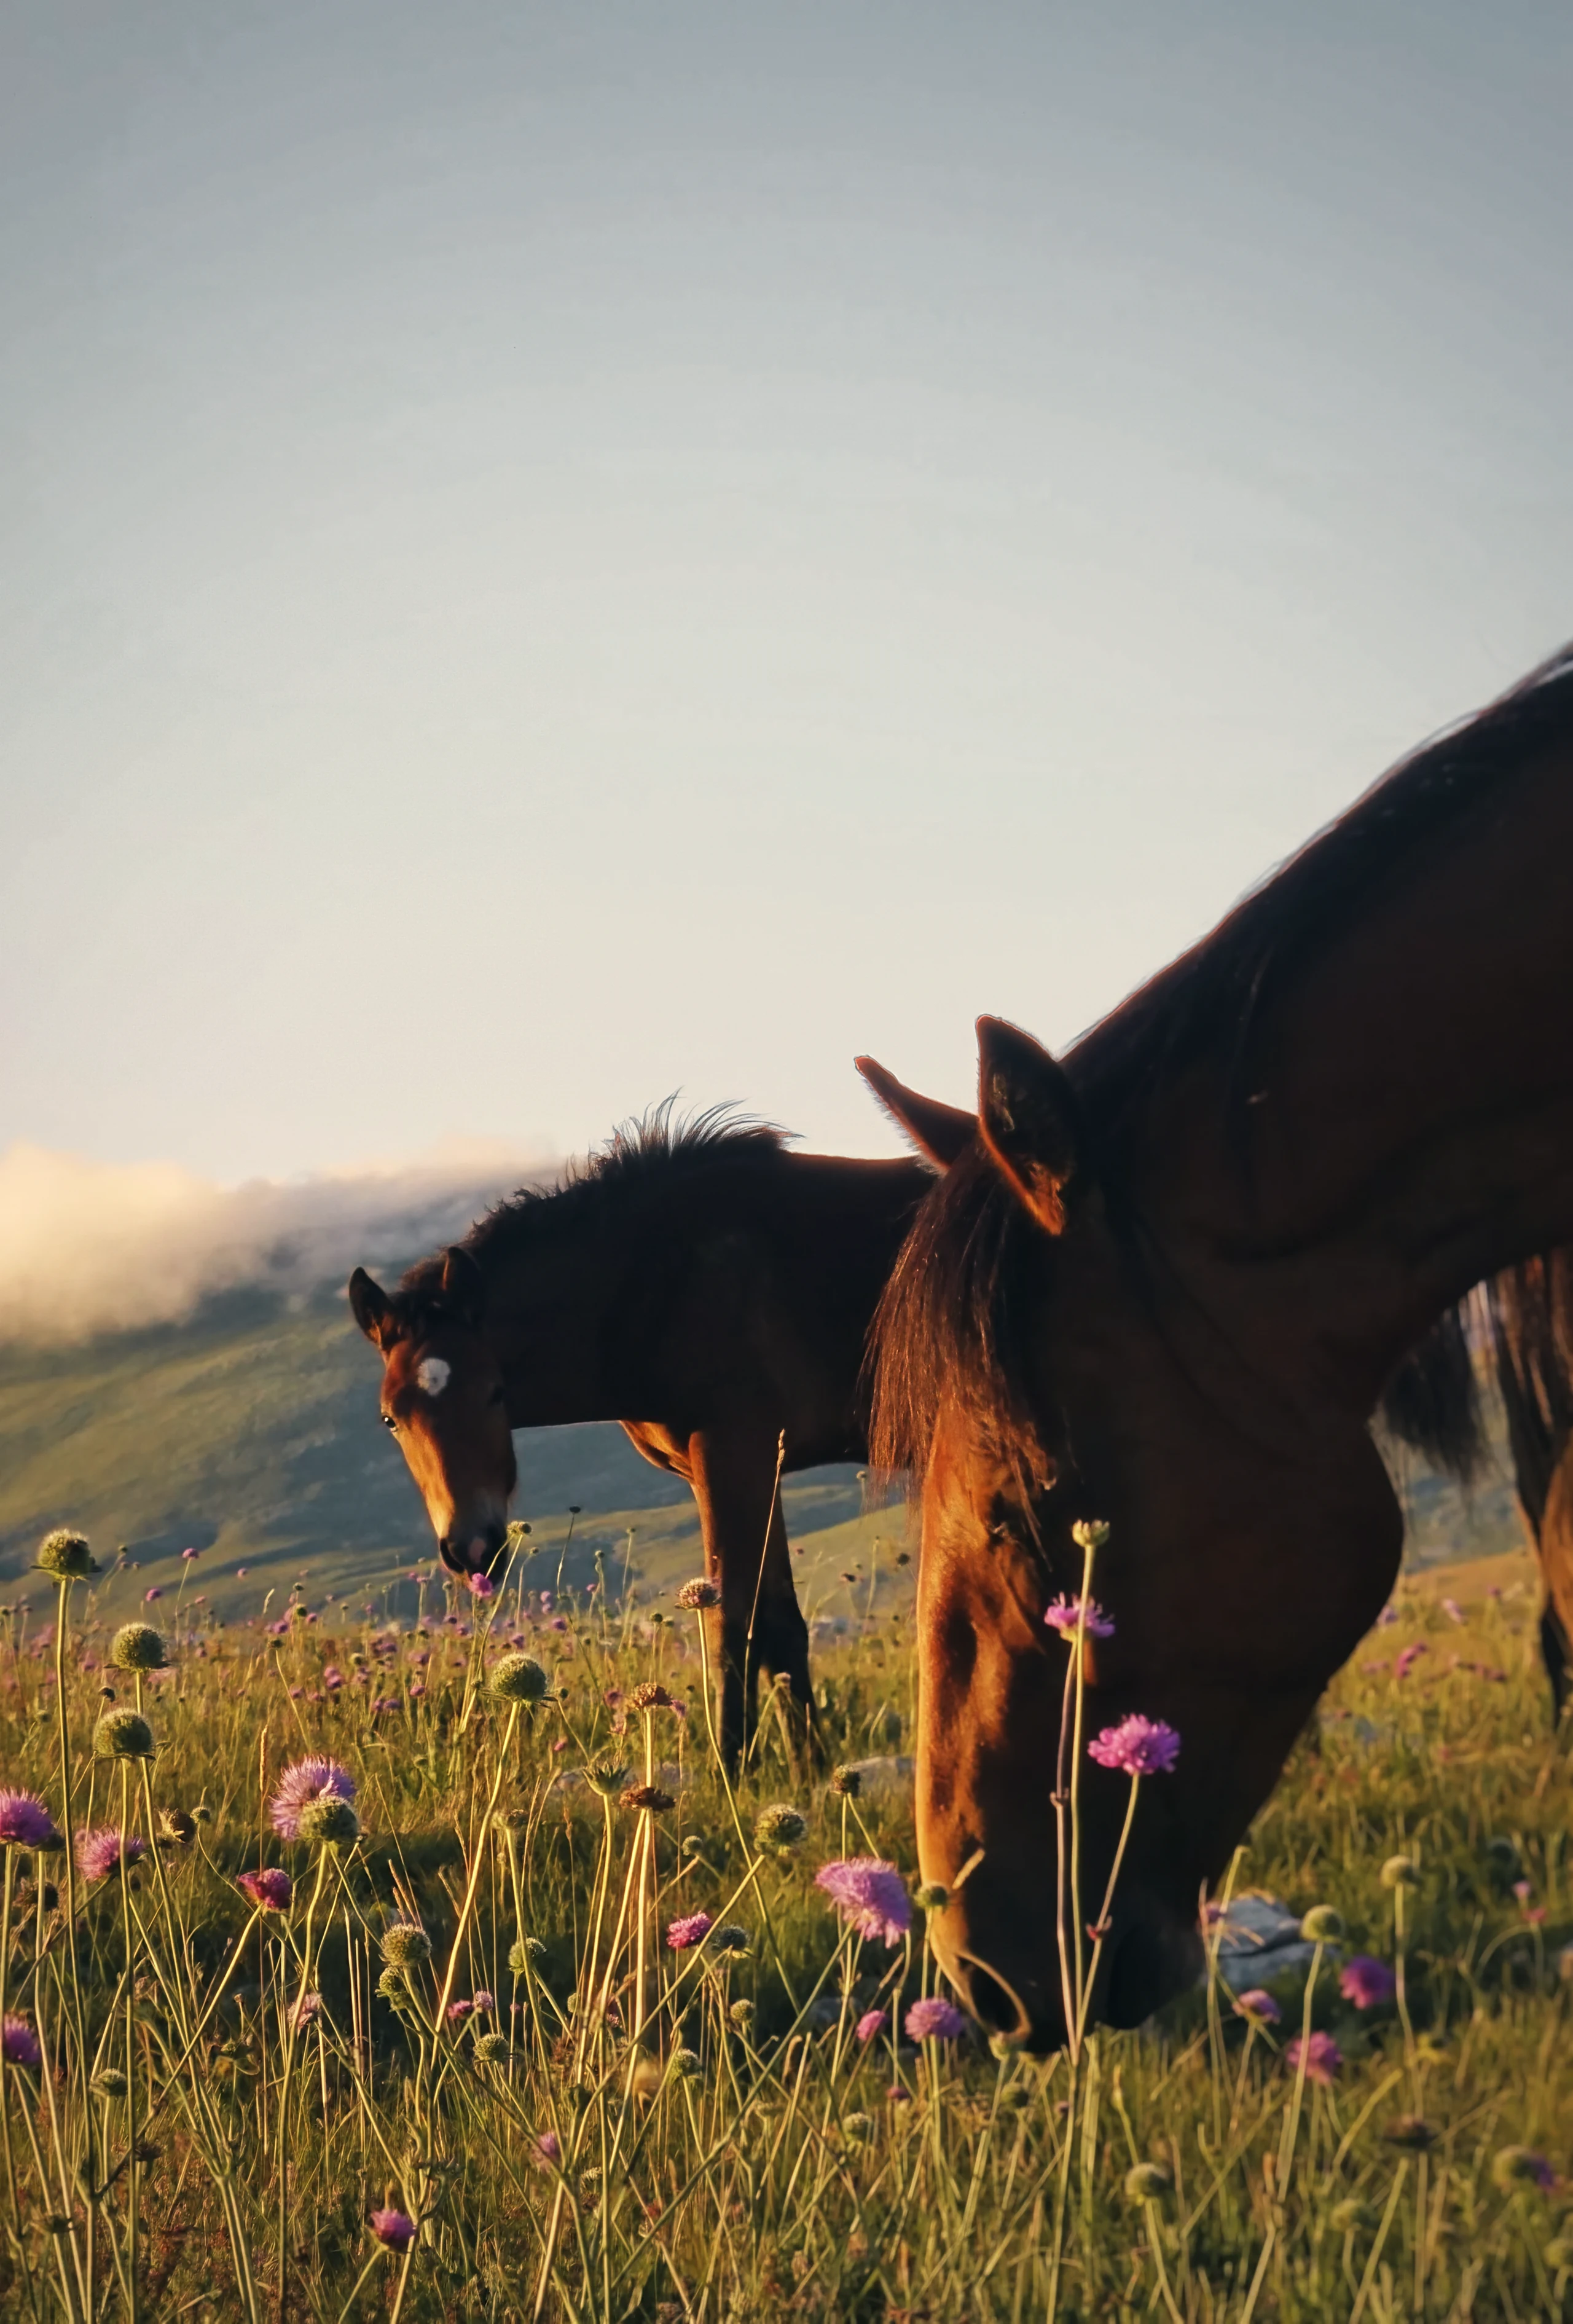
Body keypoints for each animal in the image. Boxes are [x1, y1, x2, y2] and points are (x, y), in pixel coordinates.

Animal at [348, 1092, 972, 1767]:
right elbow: (778, 1622)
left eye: (495, 1392)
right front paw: (809, 1766)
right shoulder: (745, 1467)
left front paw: (734, 1767)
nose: (472, 1549)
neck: (662, 1282)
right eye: (391, 1418)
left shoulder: (734, 1454)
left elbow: (732, 1620)